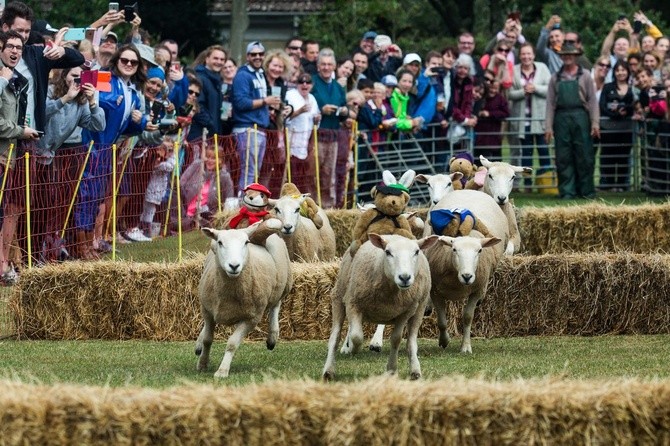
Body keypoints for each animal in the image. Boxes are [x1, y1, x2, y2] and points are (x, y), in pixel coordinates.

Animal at [194, 218, 294, 378]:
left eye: (246, 242)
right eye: (220, 242)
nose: (234, 266)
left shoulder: (251, 319)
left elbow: (232, 343)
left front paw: (222, 370)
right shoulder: (207, 311)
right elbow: (207, 340)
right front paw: (202, 364)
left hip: (284, 284)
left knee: (275, 305)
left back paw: (272, 337)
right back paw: (198, 345)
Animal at [322, 232, 438, 382]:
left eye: (416, 252)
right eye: (388, 252)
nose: (404, 277)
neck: (392, 291)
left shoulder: (405, 313)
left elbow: (396, 340)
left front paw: (392, 369)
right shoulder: (353, 304)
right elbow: (356, 336)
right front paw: (352, 348)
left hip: (419, 309)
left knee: (411, 341)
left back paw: (415, 370)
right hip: (339, 297)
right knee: (335, 338)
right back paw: (328, 370)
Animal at [430, 190, 510, 354]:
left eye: (479, 250)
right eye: (454, 250)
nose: (467, 276)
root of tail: (470, 190)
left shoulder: (477, 290)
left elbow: (467, 317)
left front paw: (466, 347)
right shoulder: (435, 292)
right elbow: (441, 321)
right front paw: (444, 340)